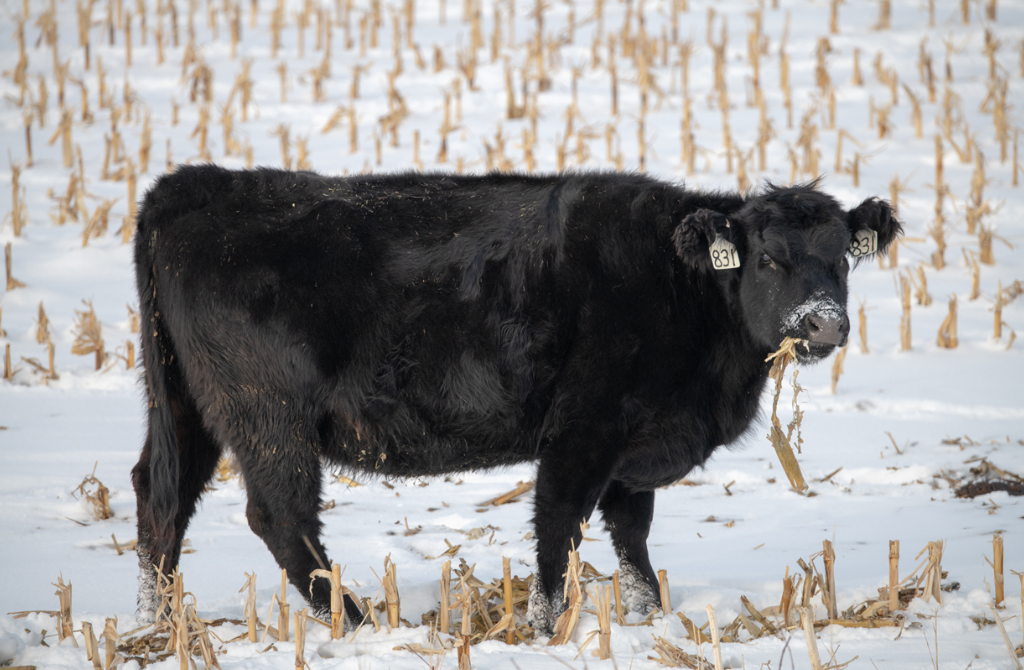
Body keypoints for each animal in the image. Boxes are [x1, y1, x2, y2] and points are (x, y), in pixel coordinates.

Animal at [130, 165, 900, 634]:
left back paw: (157, 624)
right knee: (281, 518)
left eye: (842, 257)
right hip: (268, 416)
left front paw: (648, 617)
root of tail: (197, 185)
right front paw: (543, 627)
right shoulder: (583, 428)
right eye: (767, 258)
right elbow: (558, 526)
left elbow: (631, 538)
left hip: (182, 407)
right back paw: (356, 621)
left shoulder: (634, 453)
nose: (824, 323)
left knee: (160, 498)